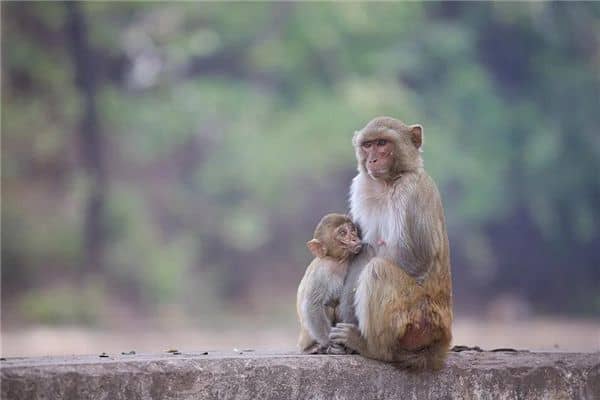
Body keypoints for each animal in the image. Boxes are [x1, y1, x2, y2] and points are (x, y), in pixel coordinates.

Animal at [296, 212, 360, 354]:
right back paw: (313, 347)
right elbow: (313, 305)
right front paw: (329, 341)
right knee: (327, 306)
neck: (337, 260)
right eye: (342, 233)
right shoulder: (321, 272)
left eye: (352, 229)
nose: (354, 238)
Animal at [330, 115, 452, 368]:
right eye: (368, 145)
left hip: (419, 322)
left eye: (382, 143)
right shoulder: (361, 187)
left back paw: (373, 348)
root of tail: (441, 341)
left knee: (378, 270)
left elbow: (415, 258)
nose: (373, 159)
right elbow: (364, 250)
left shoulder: (412, 191)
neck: (389, 182)